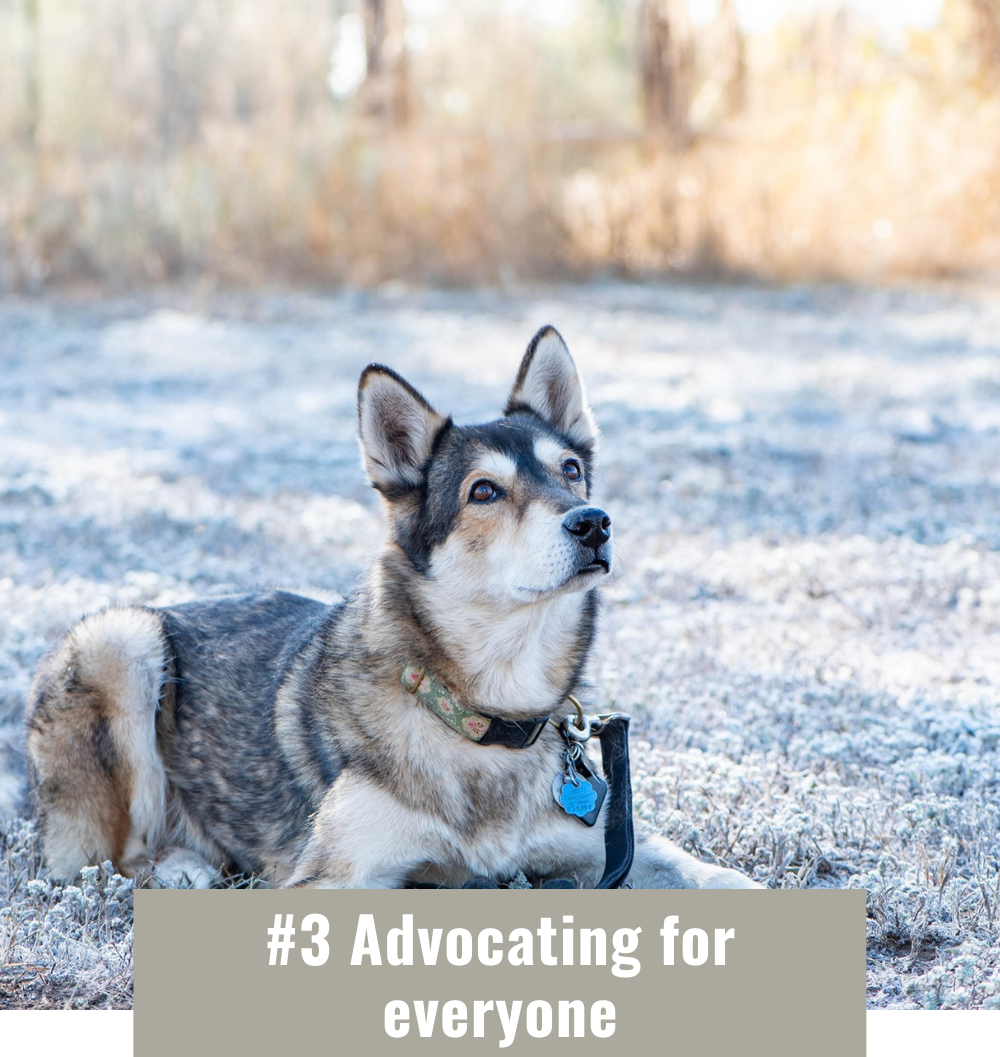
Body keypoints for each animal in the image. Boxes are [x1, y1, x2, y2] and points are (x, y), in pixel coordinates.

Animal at [23, 325, 756, 887]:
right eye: (484, 491)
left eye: (570, 471)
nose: (594, 523)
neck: (481, 713)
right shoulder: (337, 875)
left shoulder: (610, 846)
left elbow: (709, 871)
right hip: (121, 642)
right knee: (106, 860)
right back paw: (179, 866)